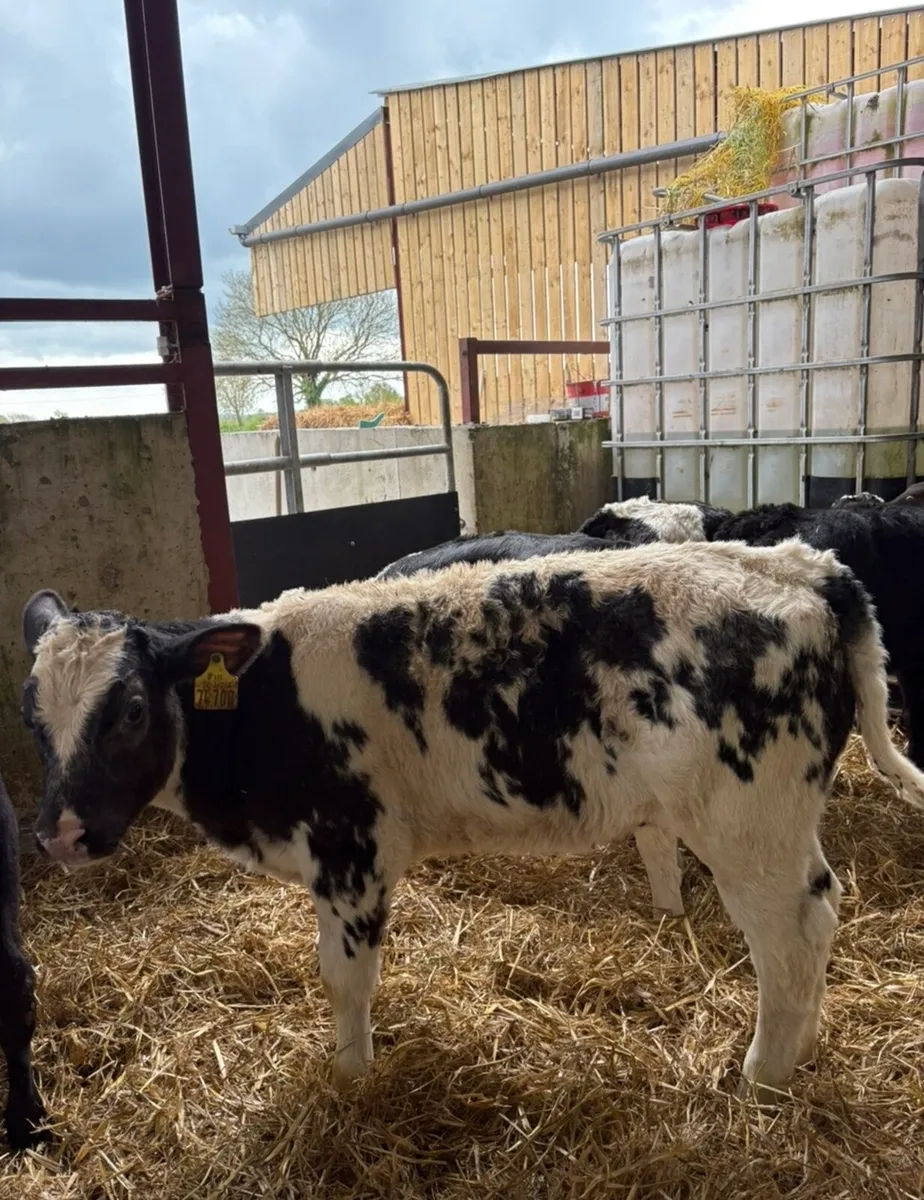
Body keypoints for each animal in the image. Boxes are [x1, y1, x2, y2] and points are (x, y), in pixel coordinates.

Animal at [20, 542, 924, 1101]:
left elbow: (344, 979)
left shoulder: (351, 851)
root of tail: (800, 566)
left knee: (793, 935)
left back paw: (762, 1078)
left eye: (131, 711)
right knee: (818, 914)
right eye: (32, 714)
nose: (61, 834)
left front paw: (351, 1080)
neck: (262, 705)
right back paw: (799, 1053)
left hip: (746, 822)